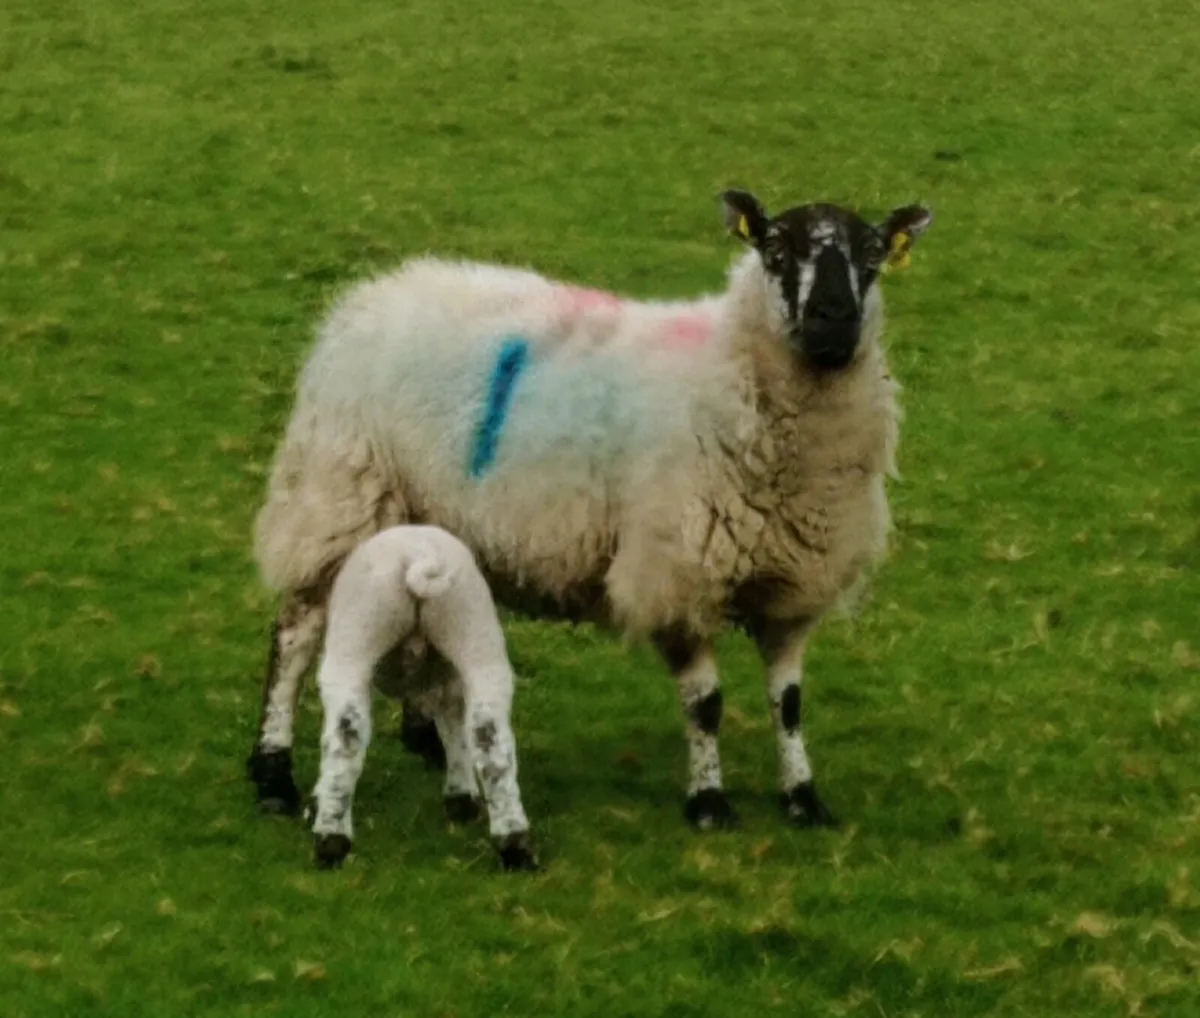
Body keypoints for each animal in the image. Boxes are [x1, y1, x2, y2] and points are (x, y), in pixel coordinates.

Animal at [246, 188, 933, 833]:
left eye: (873, 255)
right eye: (776, 251)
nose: (833, 321)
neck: (730, 373)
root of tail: (371, 296)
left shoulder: (793, 586)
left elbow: (787, 703)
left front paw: (802, 797)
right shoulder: (674, 573)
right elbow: (705, 703)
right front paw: (709, 803)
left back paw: (427, 739)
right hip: (342, 497)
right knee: (295, 634)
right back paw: (273, 774)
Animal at [305, 523, 536, 871]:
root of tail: (418, 555)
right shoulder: (448, 683)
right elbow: (456, 731)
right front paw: (460, 796)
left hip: (355, 638)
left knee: (345, 739)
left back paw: (331, 839)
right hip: (475, 632)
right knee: (490, 743)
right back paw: (514, 843)